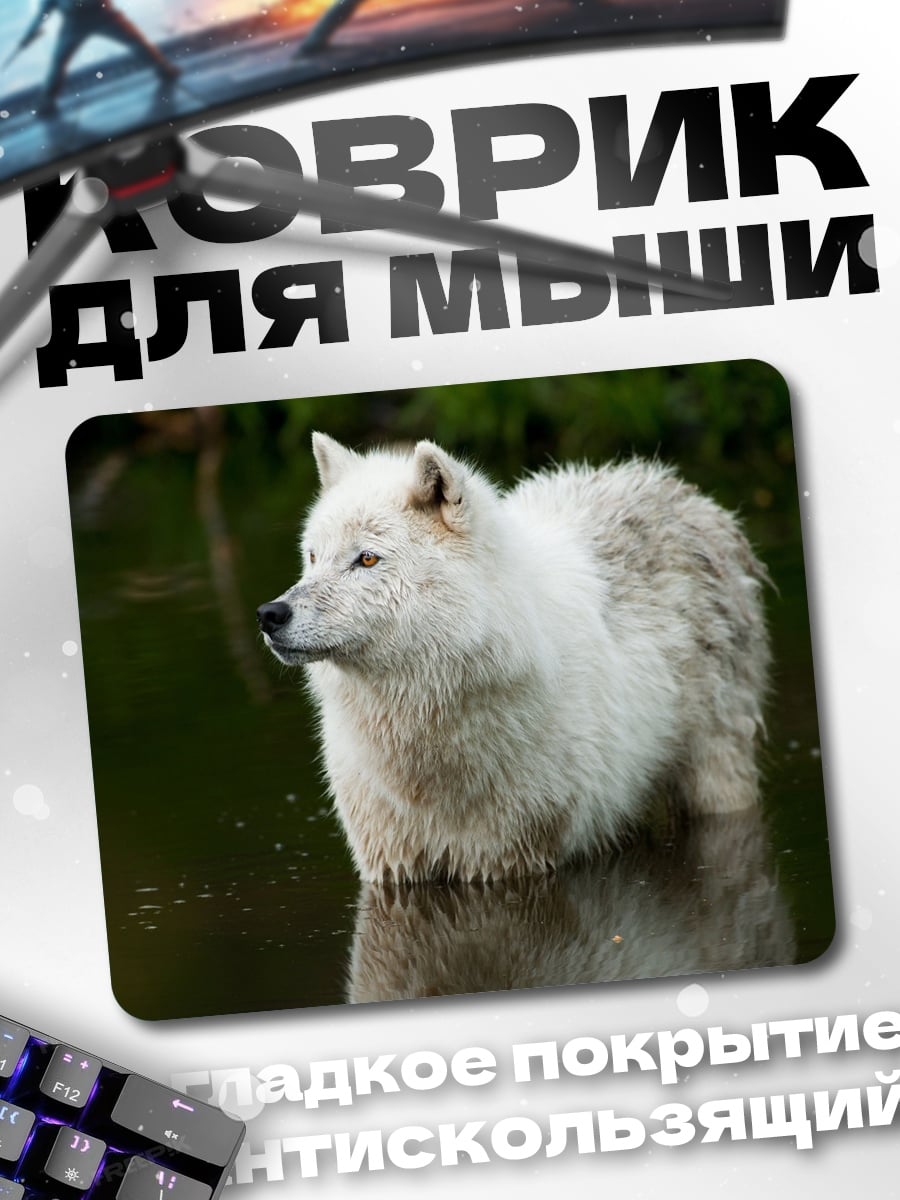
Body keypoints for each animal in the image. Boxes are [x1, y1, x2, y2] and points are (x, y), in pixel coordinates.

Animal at [257, 433, 770, 883]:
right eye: (312, 557)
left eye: (366, 559)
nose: (270, 614)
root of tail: (677, 487)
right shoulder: (390, 862)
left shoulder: (512, 859)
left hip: (716, 778)